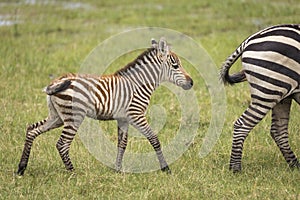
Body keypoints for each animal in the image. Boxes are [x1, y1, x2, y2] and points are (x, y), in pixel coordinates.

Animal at [17, 38, 195, 176]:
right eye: (176, 66)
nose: (192, 82)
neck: (138, 84)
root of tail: (57, 81)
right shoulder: (136, 115)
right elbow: (154, 139)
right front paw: (166, 169)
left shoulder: (123, 119)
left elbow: (122, 144)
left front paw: (118, 170)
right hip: (73, 117)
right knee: (62, 144)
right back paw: (73, 172)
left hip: (57, 117)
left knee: (32, 130)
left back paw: (21, 168)